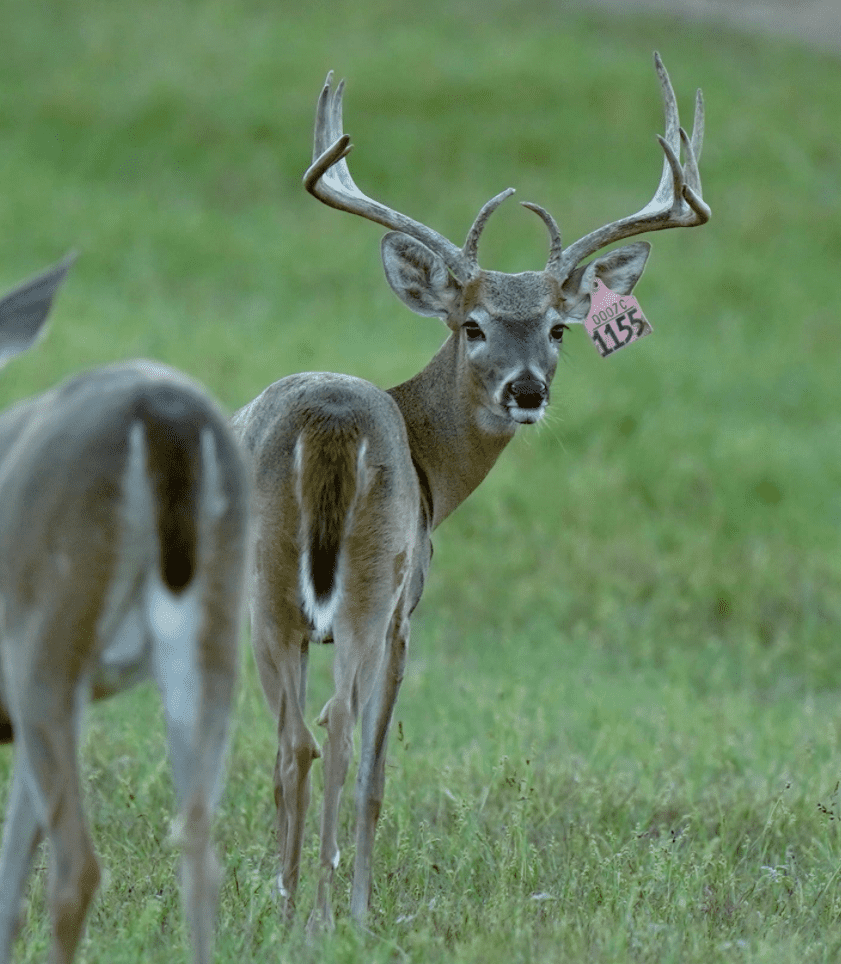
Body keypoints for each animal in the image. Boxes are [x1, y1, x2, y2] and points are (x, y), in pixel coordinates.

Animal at [231, 51, 709, 931]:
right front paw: (359, 910)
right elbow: (378, 771)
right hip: (369, 586)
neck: (431, 463)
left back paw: (279, 909)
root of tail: (330, 424)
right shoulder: (408, 609)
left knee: (290, 739)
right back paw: (327, 915)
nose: (526, 391)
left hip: (264, 591)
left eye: (557, 327)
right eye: (473, 324)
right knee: (338, 732)